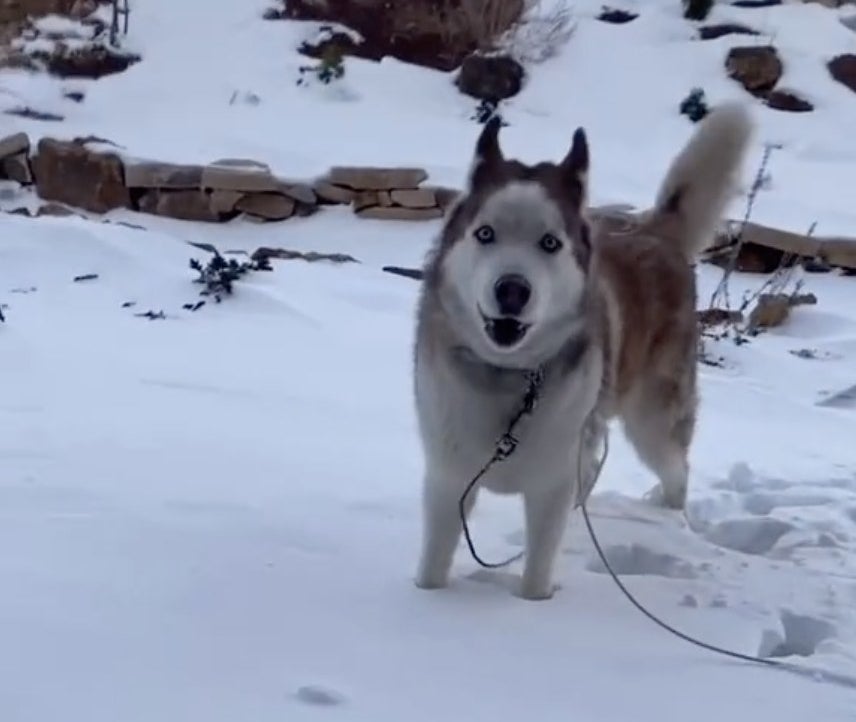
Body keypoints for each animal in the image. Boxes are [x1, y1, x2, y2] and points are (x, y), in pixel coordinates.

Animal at [412, 101, 752, 596]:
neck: (510, 380)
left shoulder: (552, 483)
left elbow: (537, 570)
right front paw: (426, 600)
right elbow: (434, 566)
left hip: (652, 422)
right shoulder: (448, 476)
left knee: (676, 471)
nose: (512, 290)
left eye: (549, 243)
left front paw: (532, 604)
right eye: (486, 234)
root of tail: (654, 233)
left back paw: (672, 522)